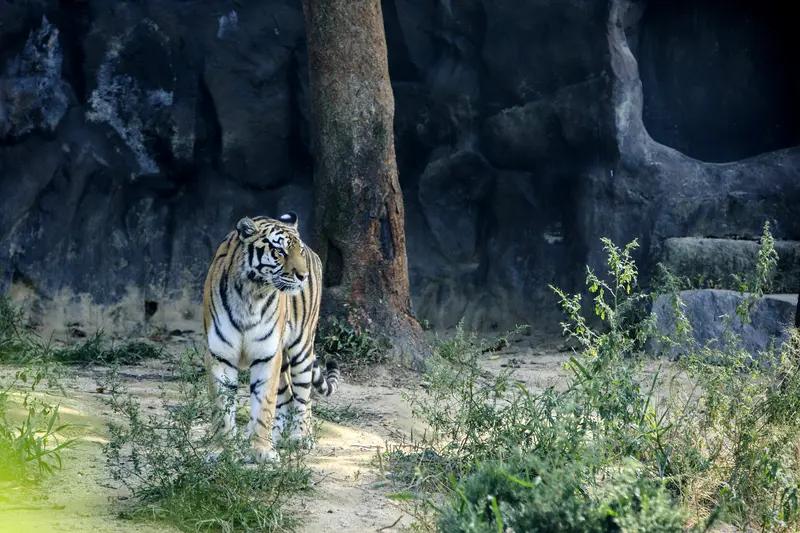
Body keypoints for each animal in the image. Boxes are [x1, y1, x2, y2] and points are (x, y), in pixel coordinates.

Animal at [202, 212, 339, 462]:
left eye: (298, 251)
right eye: (280, 252)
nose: (303, 276)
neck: (250, 293)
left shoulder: (267, 356)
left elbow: (264, 404)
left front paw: (262, 450)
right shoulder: (220, 355)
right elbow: (222, 407)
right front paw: (222, 450)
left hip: (301, 348)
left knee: (303, 396)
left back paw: (300, 437)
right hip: (283, 358)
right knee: (287, 396)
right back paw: (277, 435)